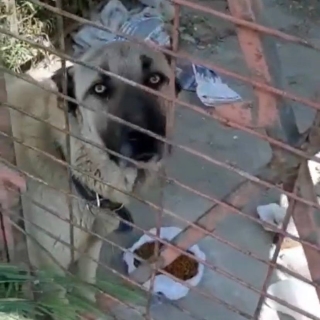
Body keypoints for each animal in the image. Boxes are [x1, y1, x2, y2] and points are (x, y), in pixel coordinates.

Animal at [5, 41, 181, 304]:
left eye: (154, 79)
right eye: (99, 88)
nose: (144, 139)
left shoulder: (91, 248)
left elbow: (86, 287)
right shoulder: (50, 269)